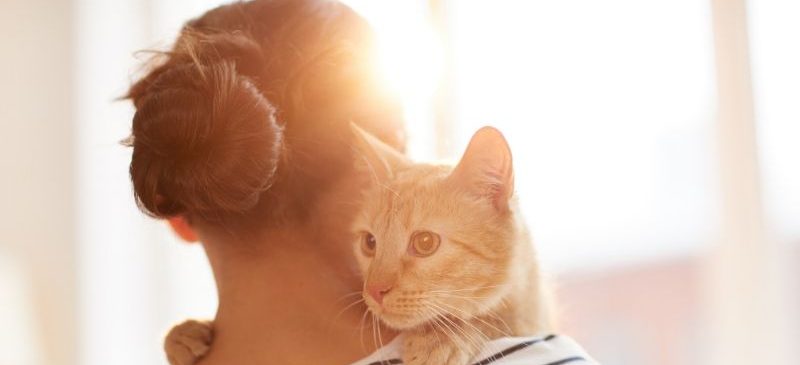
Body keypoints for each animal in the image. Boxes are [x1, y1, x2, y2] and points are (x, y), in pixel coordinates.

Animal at [162, 126, 552, 364]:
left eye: (425, 242)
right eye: (369, 243)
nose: (375, 290)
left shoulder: (530, 317)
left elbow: (497, 318)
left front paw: (445, 336)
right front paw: (184, 333)